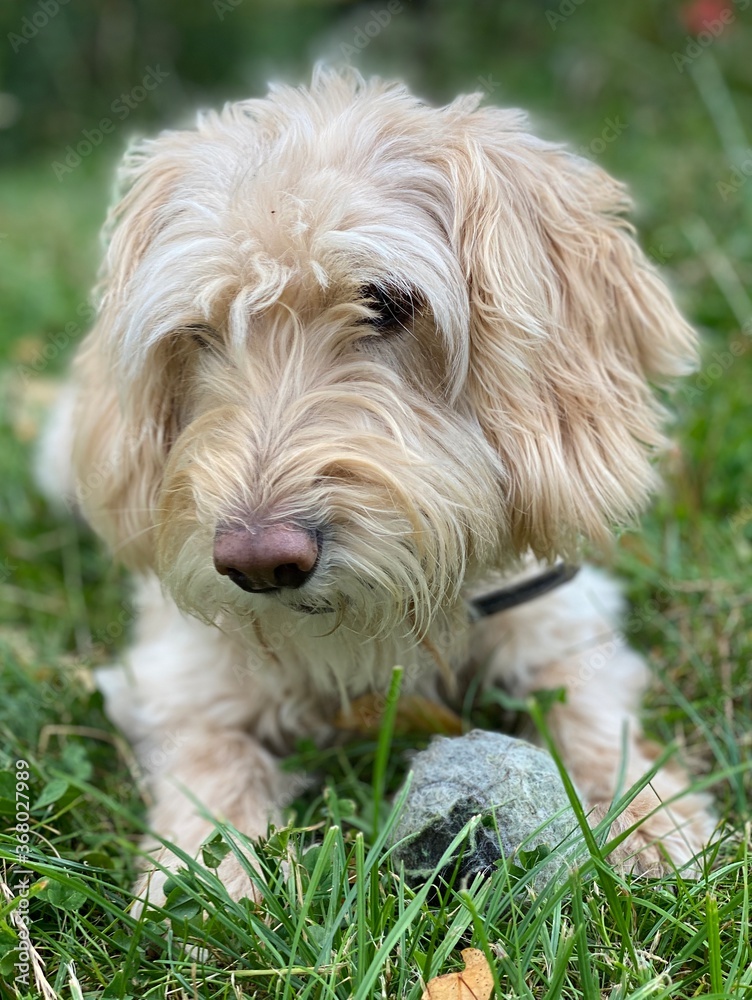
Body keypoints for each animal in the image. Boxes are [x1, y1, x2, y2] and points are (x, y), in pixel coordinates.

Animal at [41, 66, 716, 904]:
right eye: (198, 332)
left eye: (387, 301)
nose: (260, 563)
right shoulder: (178, 677)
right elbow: (209, 763)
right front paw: (205, 883)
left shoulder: (564, 618)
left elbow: (592, 716)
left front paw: (648, 818)